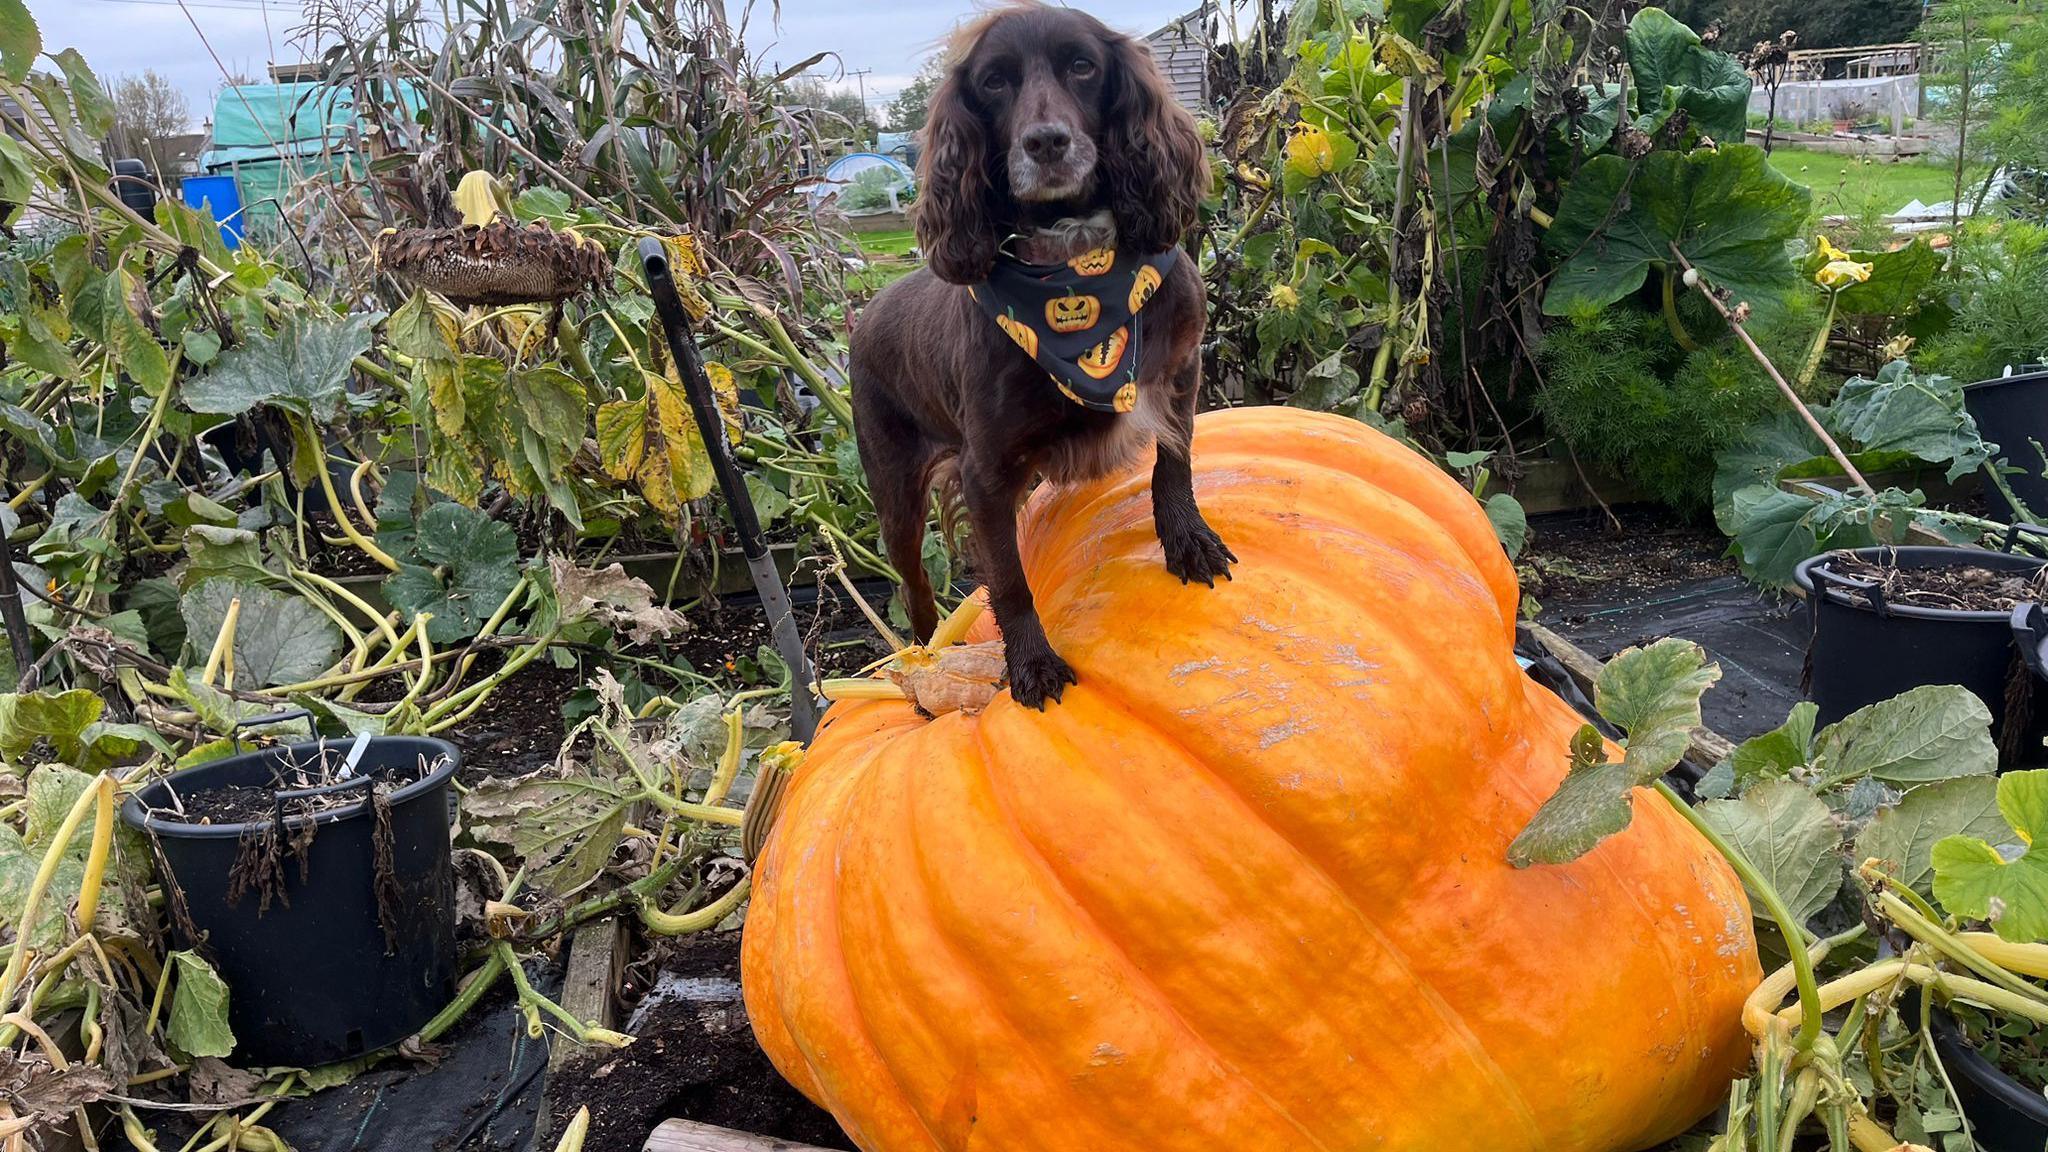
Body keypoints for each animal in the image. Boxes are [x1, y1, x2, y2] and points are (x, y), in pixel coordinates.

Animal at [847, 0, 1228, 705]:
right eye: (994, 81)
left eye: (1082, 65)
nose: (1046, 142)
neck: (1077, 268)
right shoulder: (986, 473)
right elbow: (1009, 581)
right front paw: (1031, 664)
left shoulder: (1180, 373)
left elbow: (1174, 463)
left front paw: (1188, 540)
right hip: (895, 498)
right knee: (915, 593)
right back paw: (923, 669)